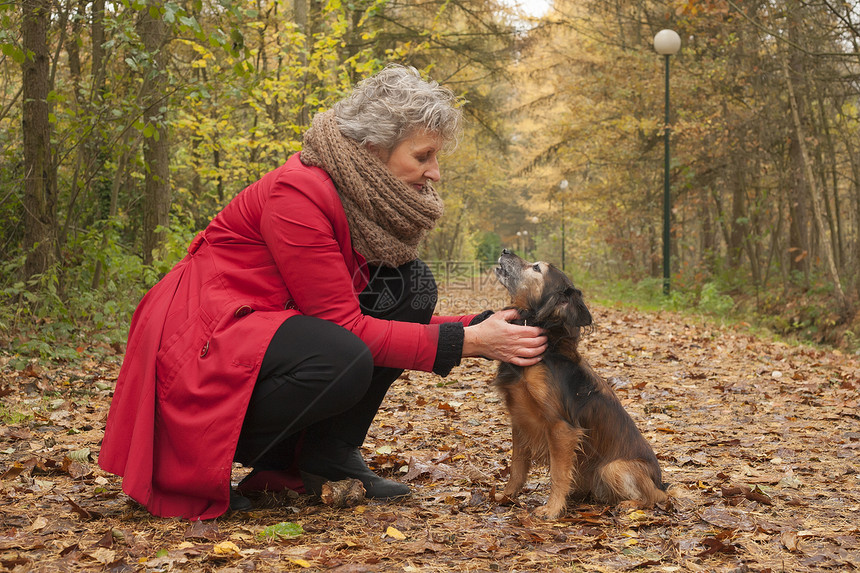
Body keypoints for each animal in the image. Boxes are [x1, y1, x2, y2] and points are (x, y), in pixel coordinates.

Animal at [490, 249, 664, 520]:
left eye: (536, 268)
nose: (505, 250)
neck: (547, 347)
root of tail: (660, 483)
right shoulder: (520, 421)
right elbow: (517, 467)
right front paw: (506, 497)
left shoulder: (561, 428)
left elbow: (559, 474)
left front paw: (551, 509)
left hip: (613, 468)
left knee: (656, 498)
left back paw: (630, 505)